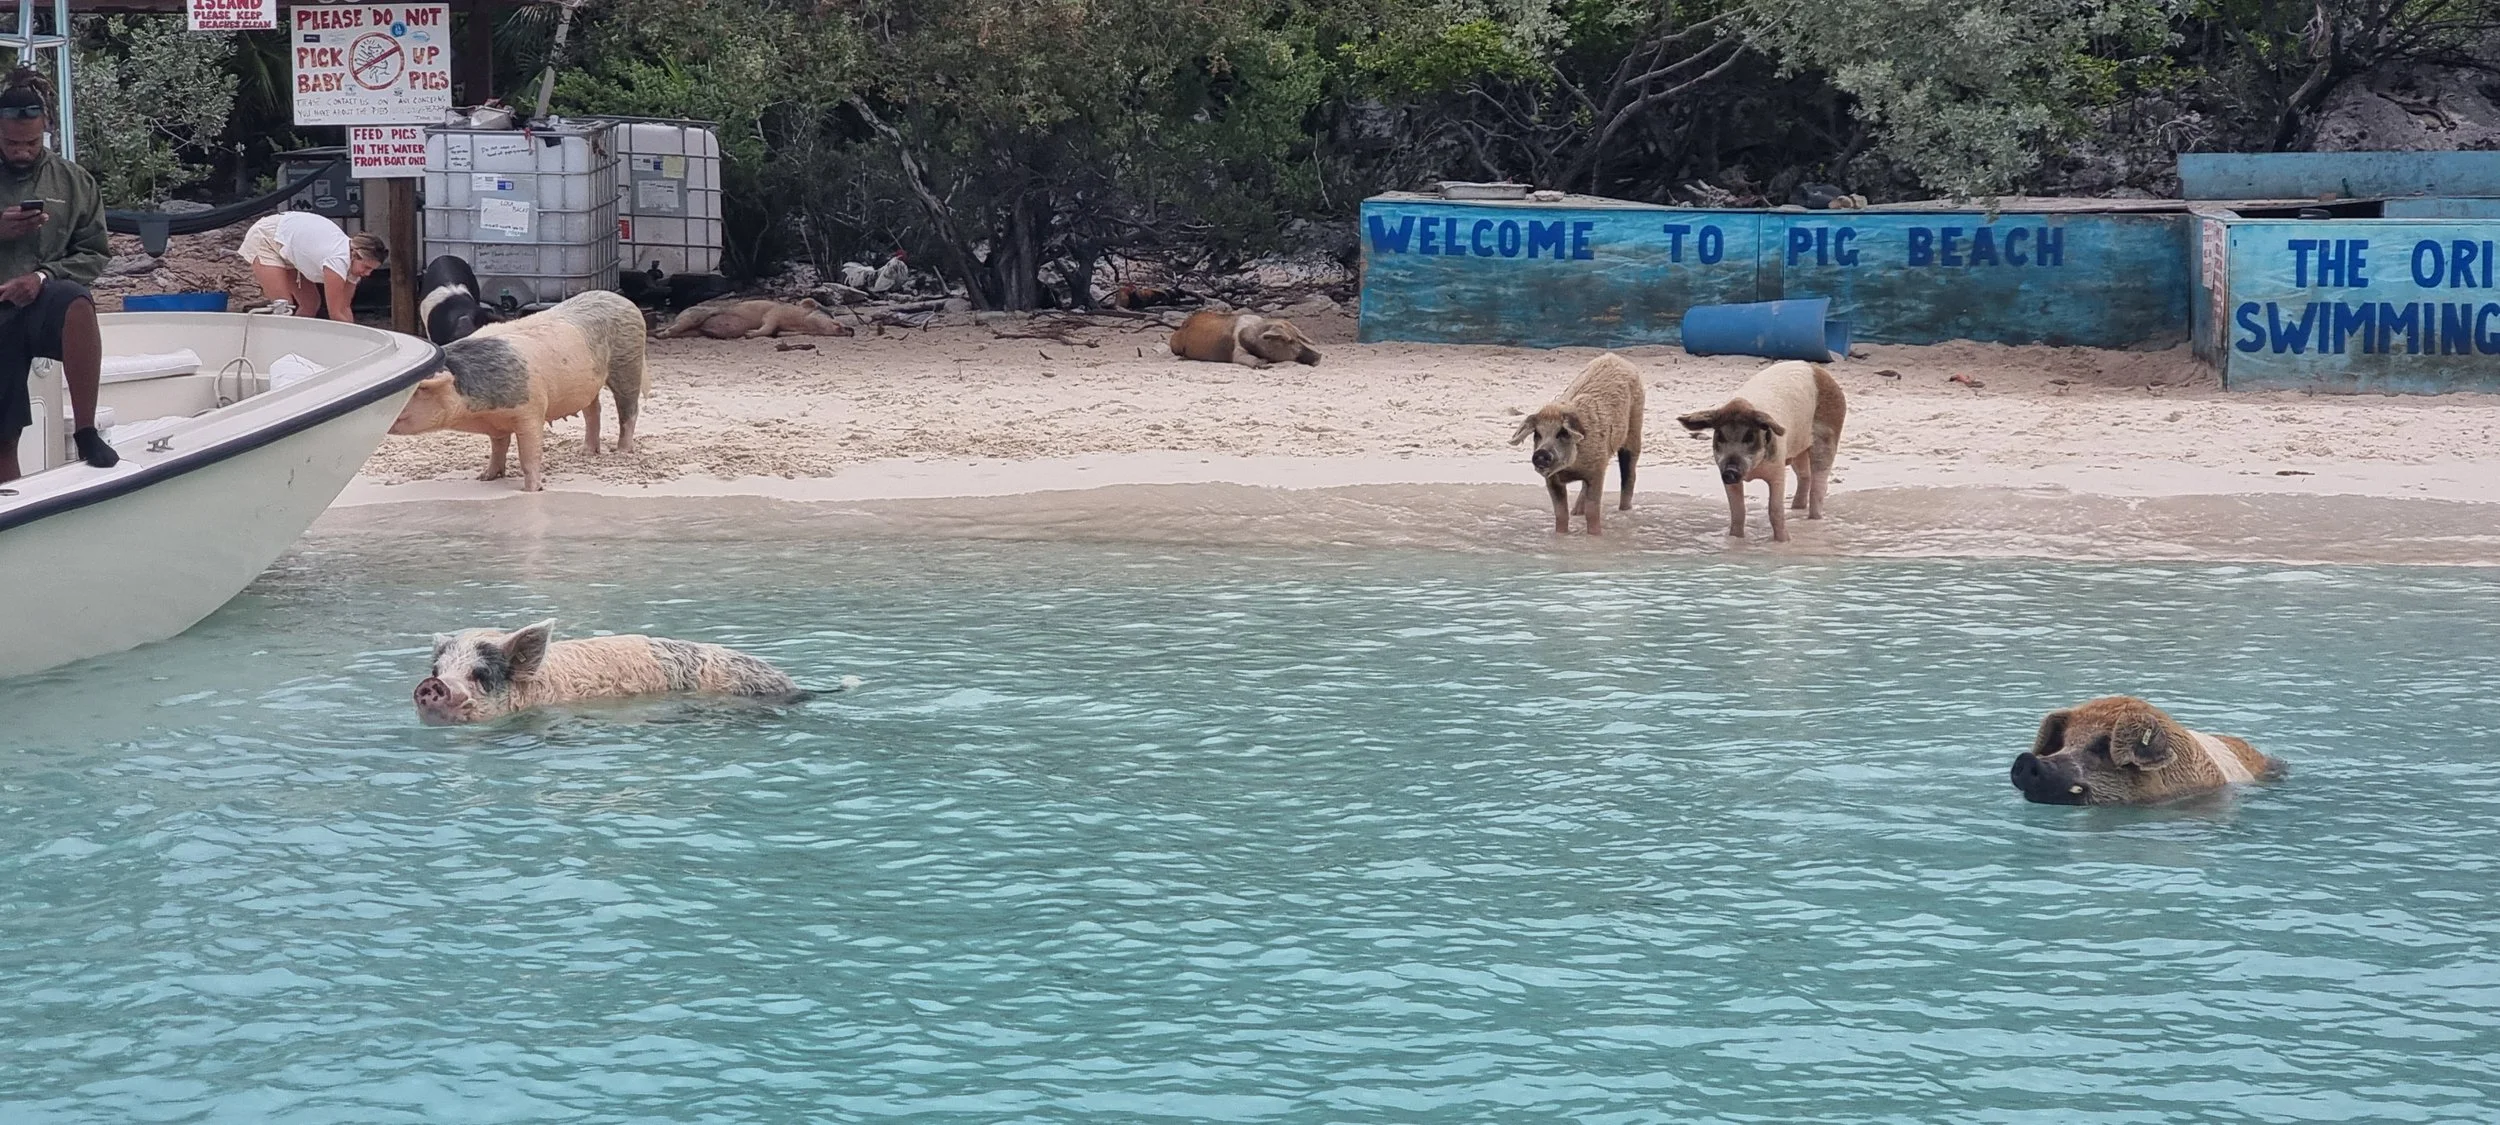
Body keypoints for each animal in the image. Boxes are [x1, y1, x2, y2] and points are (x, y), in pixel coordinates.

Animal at [387, 288, 649, 492]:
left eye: (416, 389)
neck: (479, 414)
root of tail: (624, 301)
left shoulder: (531, 410)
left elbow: (529, 454)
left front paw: (531, 489)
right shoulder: (496, 423)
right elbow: (498, 447)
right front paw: (485, 477)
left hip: (628, 361)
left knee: (629, 410)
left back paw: (621, 452)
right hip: (590, 383)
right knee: (593, 411)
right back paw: (585, 453)